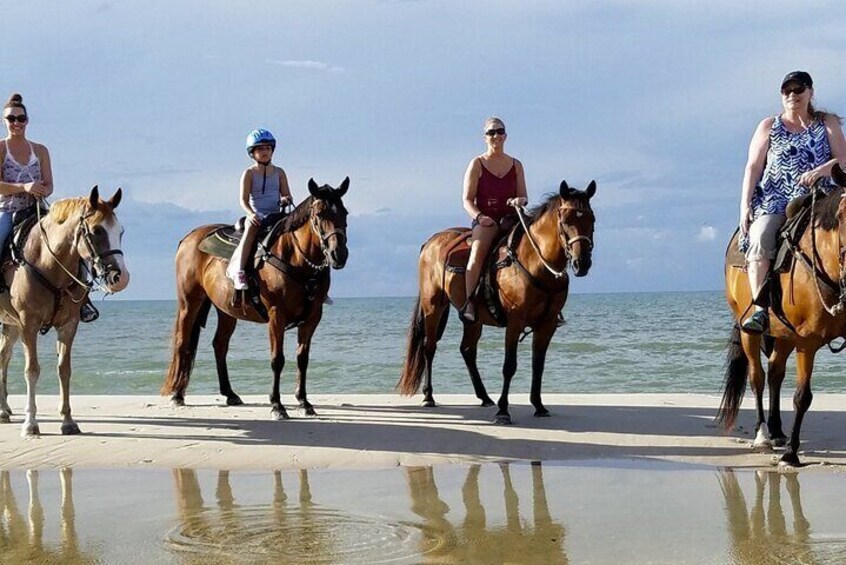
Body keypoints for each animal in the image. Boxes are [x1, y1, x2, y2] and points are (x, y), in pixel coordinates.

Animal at [0, 186, 129, 436]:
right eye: (97, 230)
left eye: (121, 231)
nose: (121, 278)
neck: (47, 262)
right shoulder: (28, 324)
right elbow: (32, 370)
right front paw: (30, 424)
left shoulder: (68, 325)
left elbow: (64, 370)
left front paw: (68, 421)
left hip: (10, 325)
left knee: (3, 357)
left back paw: (3, 410)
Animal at [161, 177, 350, 418]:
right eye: (319, 215)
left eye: (344, 213)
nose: (339, 254)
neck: (296, 258)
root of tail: (189, 237)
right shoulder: (276, 315)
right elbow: (277, 360)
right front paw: (277, 405)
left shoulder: (312, 317)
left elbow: (302, 359)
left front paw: (304, 402)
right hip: (189, 302)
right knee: (182, 342)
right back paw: (177, 394)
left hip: (226, 310)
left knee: (219, 345)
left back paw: (230, 394)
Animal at [400, 181, 600, 424]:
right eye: (565, 220)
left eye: (591, 219)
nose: (582, 263)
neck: (536, 263)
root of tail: (430, 242)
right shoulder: (515, 322)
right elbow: (509, 366)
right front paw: (504, 410)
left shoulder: (547, 324)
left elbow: (538, 364)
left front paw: (538, 405)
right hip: (433, 307)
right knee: (429, 347)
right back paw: (429, 396)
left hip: (473, 320)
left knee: (467, 350)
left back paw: (484, 396)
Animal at [720, 164, 846, 468]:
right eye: (841, 214)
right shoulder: (808, 342)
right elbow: (802, 397)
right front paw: (791, 454)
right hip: (749, 331)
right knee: (758, 377)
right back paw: (763, 435)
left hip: (785, 334)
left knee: (776, 372)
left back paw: (777, 431)